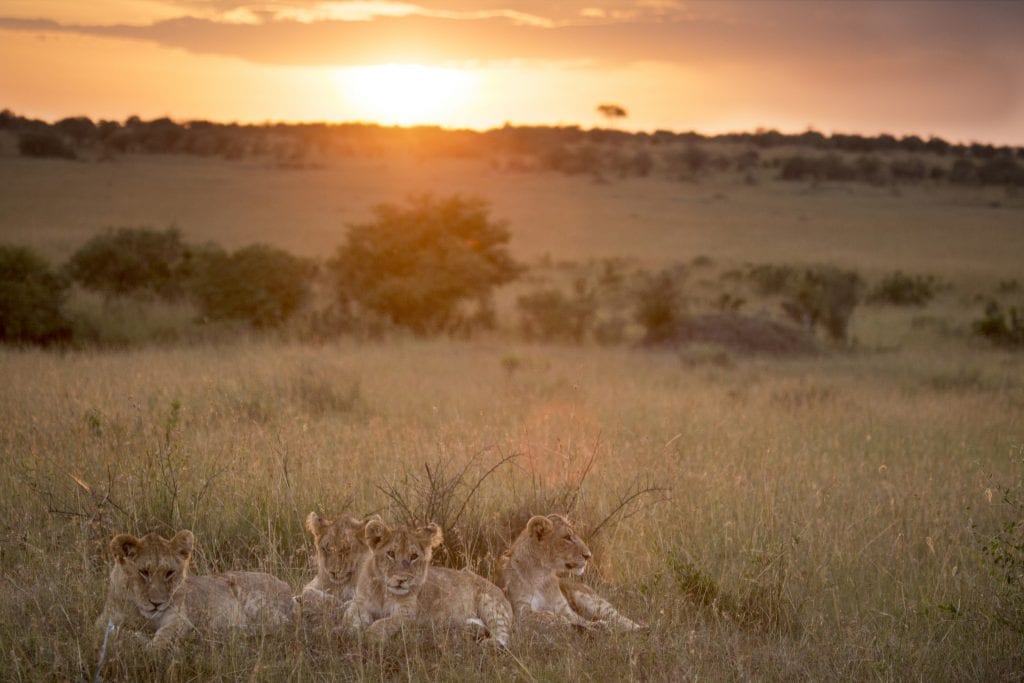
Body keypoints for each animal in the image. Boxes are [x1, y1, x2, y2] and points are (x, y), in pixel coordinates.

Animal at [96, 530, 296, 649]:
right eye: (143, 572)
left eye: (169, 573)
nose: (157, 604)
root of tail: (288, 587)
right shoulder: (103, 619)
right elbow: (111, 631)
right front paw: (133, 636)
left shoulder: (180, 619)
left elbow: (162, 638)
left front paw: (149, 646)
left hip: (255, 600)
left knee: (282, 626)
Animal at [343, 519, 513, 647]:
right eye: (391, 553)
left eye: (413, 556)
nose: (401, 579)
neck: (383, 594)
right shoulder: (359, 603)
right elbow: (349, 617)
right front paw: (348, 632)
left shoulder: (407, 614)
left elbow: (383, 623)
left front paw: (368, 637)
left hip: (491, 604)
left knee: (504, 635)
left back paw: (489, 644)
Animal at [497, 514, 645, 631]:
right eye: (567, 537)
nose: (588, 555)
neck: (541, 574)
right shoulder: (520, 611)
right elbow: (550, 616)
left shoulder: (564, 608)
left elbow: (578, 619)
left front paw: (596, 625)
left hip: (593, 602)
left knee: (620, 618)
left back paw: (641, 629)